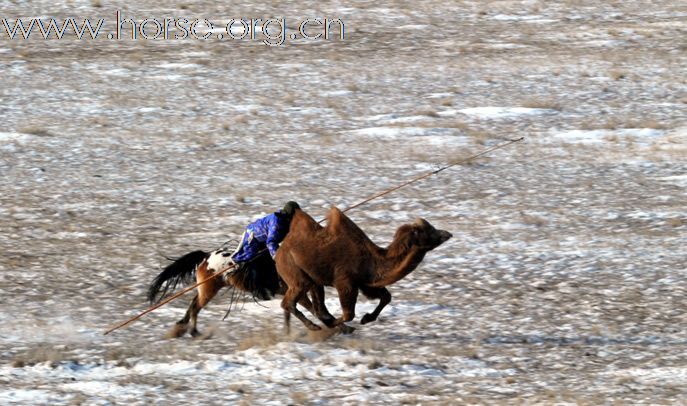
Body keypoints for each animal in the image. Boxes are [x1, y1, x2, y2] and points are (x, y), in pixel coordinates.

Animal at [274, 208, 452, 332]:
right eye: (428, 231)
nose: (447, 233)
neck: (372, 260)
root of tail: (279, 251)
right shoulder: (345, 283)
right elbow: (349, 314)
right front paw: (336, 324)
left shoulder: (365, 283)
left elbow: (386, 297)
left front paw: (366, 318)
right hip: (294, 272)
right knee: (290, 301)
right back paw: (315, 326)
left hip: (312, 279)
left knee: (315, 304)